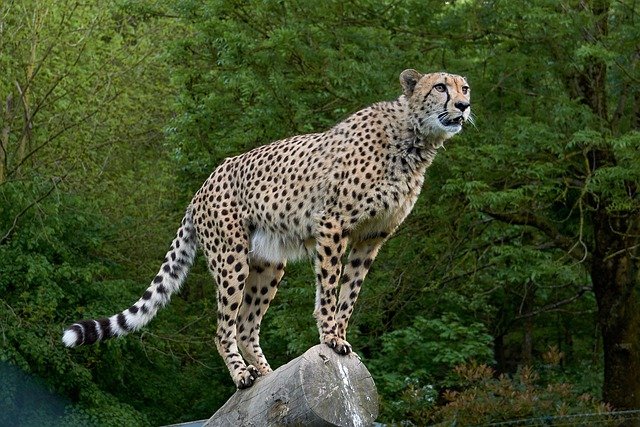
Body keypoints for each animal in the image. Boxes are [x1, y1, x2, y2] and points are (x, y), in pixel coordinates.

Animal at [62, 69, 472, 389]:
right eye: (440, 87)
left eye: (464, 88)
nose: (464, 107)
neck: (413, 139)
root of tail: (202, 186)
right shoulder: (333, 224)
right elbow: (329, 288)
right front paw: (329, 336)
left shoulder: (371, 238)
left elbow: (349, 293)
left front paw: (339, 336)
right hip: (231, 257)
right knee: (224, 328)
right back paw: (243, 375)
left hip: (269, 262)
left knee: (246, 325)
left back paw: (267, 373)